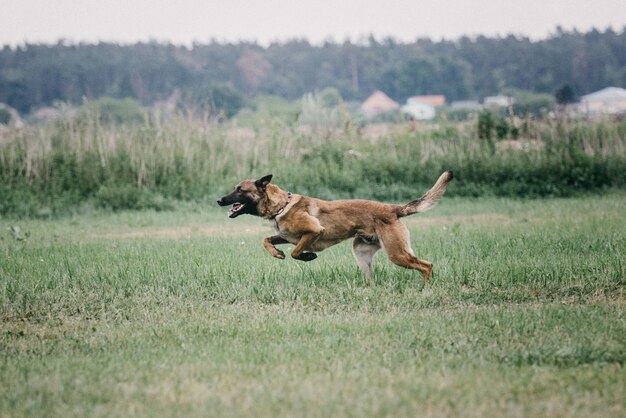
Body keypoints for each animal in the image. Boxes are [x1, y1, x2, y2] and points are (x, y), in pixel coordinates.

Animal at [217, 171, 450, 286]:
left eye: (240, 190)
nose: (219, 200)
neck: (281, 205)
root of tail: (393, 209)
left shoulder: (313, 231)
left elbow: (295, 252)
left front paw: (308, 257)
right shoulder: (285, 236)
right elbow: (267, 240)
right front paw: (276, 253)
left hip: (396, 253)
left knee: (426, 266)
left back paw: (425, 290)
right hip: (361, 253)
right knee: (371, 276)